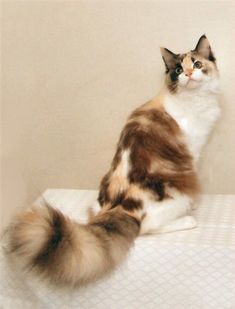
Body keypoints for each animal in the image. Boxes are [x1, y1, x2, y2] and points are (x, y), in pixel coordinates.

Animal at [4, 35, 220, 286]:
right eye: (177, 69)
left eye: (196, 64)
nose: (188, 73)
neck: (194, 101)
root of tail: (116, 207)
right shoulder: (193, 153)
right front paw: (195, 205)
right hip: (172, 196)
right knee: (146, 228)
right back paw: (187, 220)